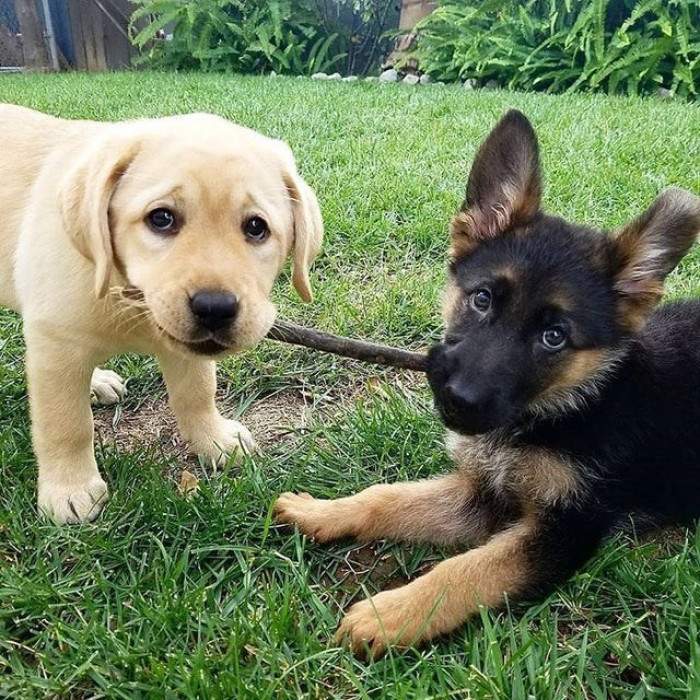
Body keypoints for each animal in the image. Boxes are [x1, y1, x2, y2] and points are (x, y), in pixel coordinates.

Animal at [0, 104, 322, 524]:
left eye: (256, 227)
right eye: (161, 218)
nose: (215, 309)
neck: (130, 294)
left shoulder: (183, 347)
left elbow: (197, 392)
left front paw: (213, 439)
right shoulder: (55, 344)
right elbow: (66, 424)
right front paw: (70, 489)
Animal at [272, 110, 700, 660]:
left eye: (554, 337)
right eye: (482, 299)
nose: (458, 400)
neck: (566, 407)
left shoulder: (567, 529)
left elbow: (467, 569)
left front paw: (390, 615)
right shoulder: (482, 495)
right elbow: (388, 498)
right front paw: (322, 512)